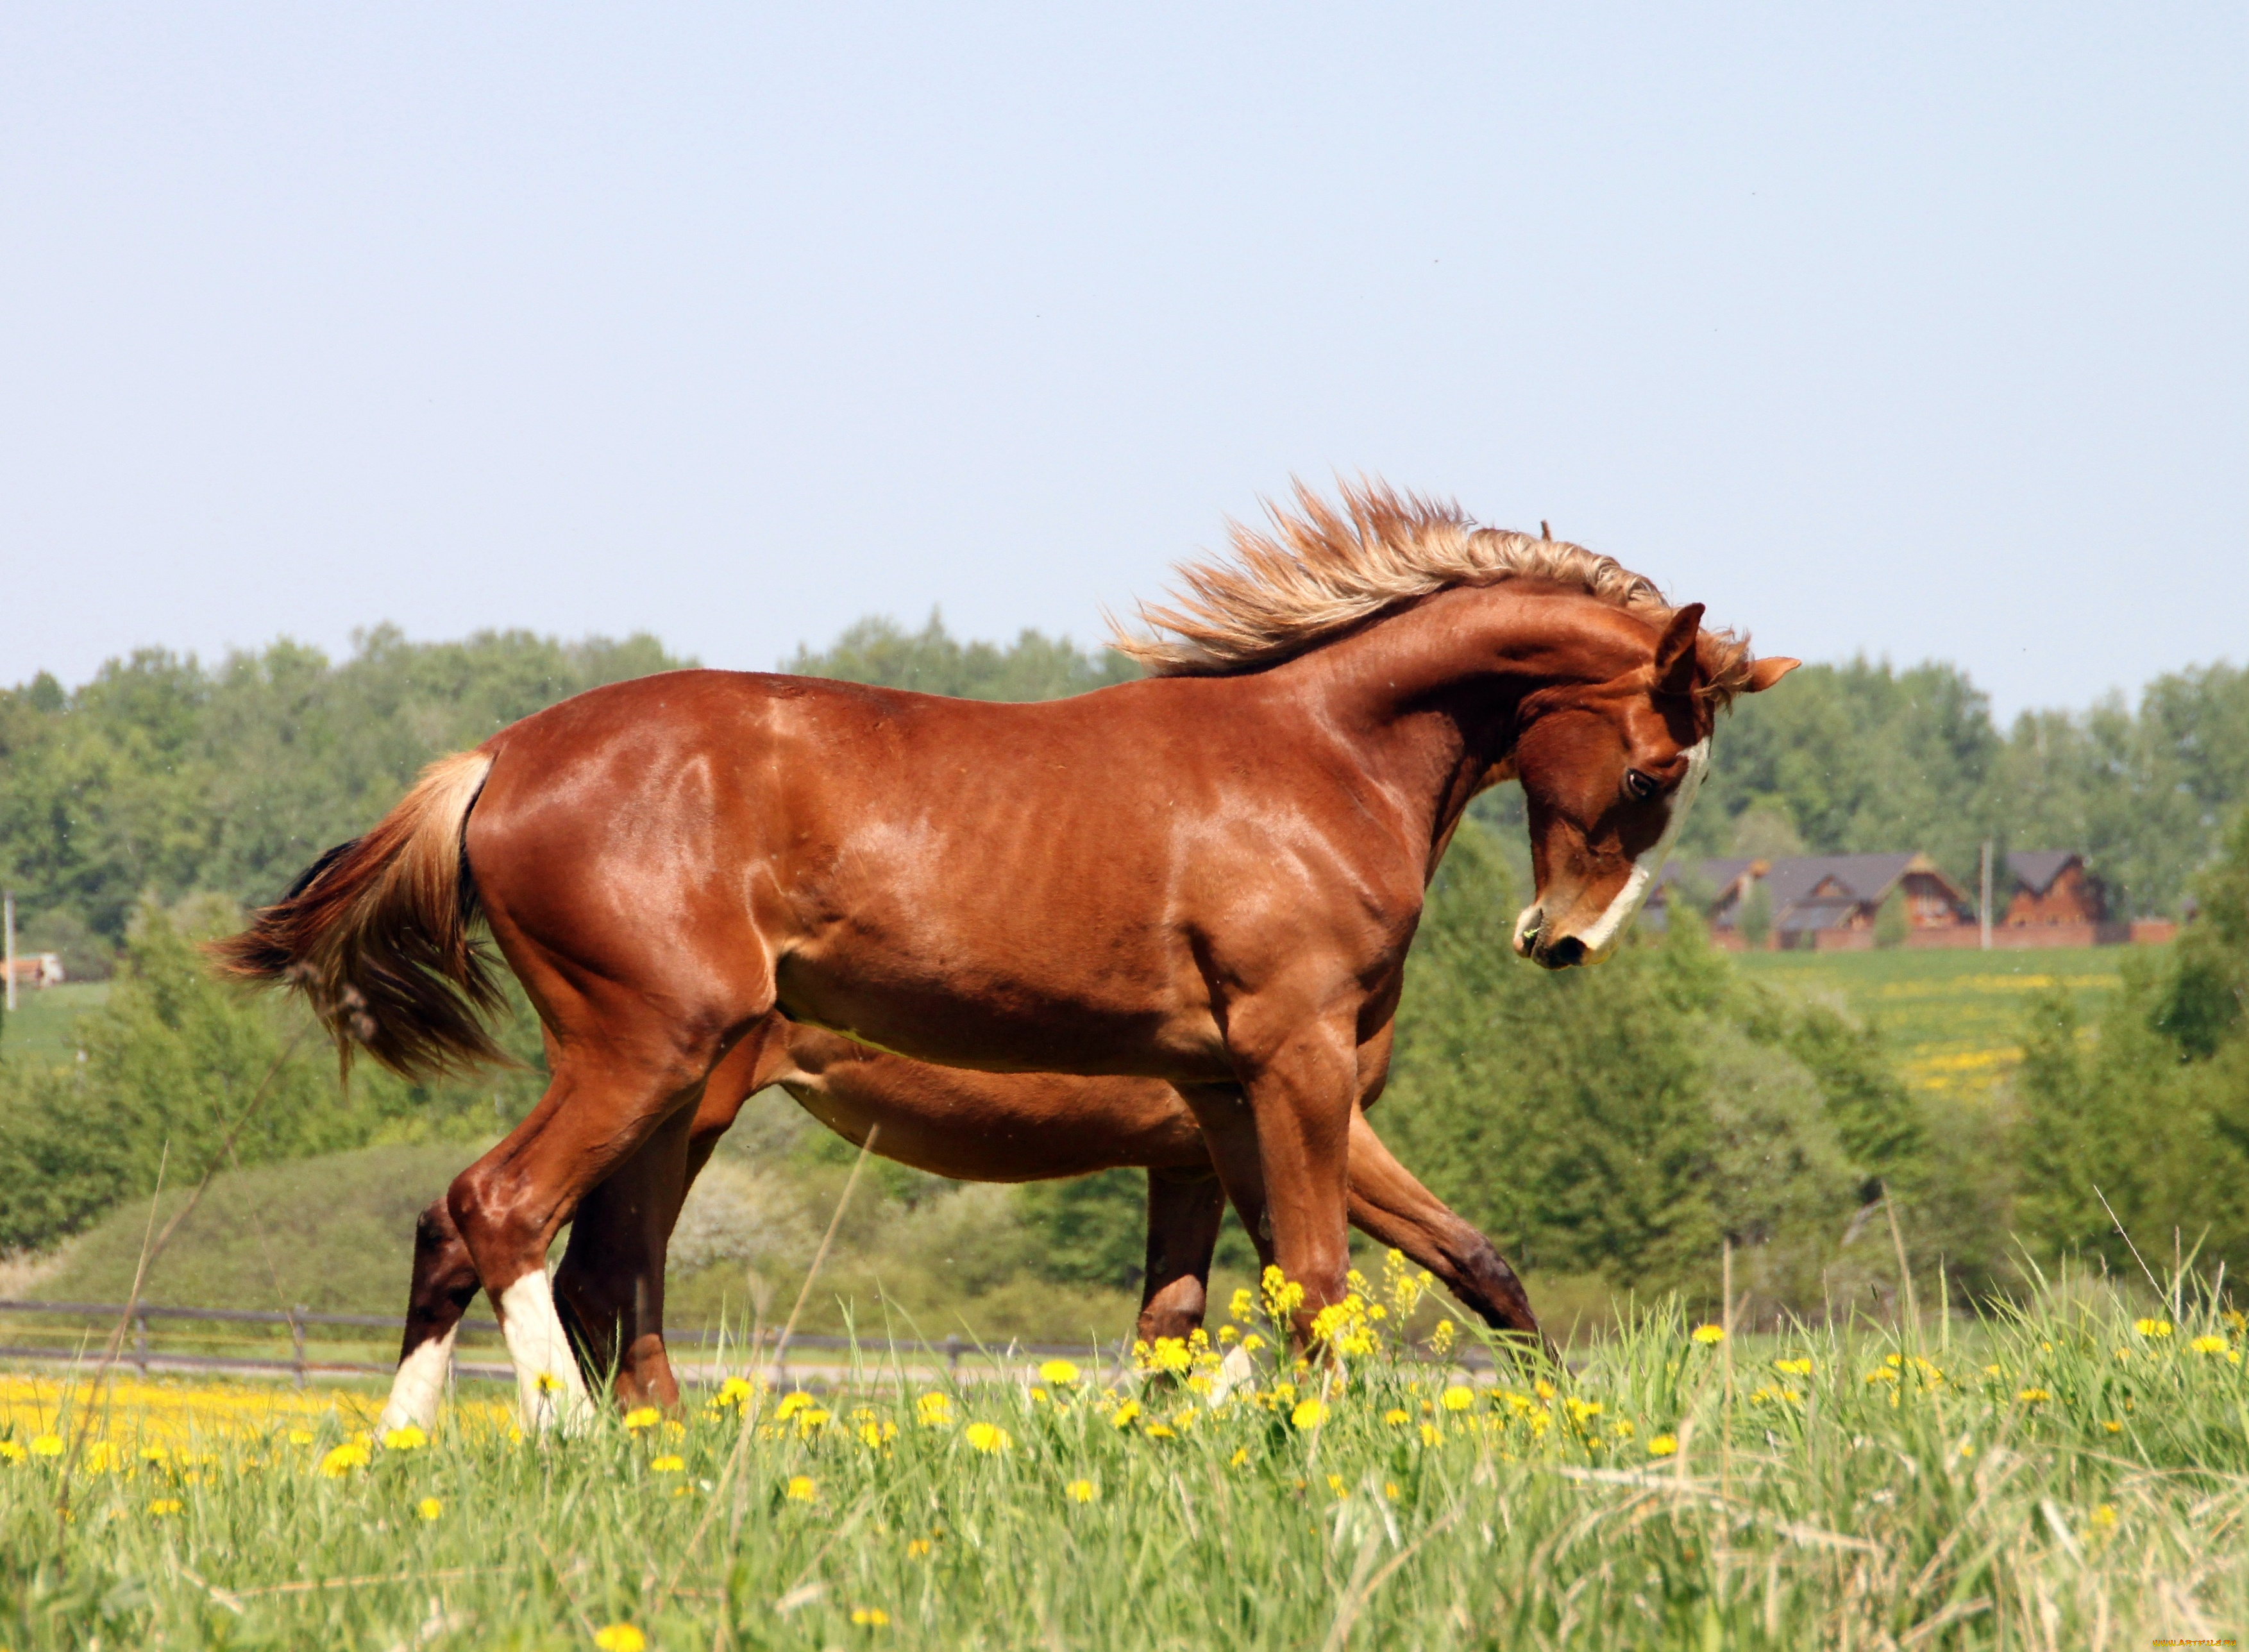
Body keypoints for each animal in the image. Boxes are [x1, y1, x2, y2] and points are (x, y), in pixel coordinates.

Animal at [378, 1020, 1556, 1438]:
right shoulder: (1299, 1131)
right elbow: (1455, 1258)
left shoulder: (1189, 1162)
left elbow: (1174, 1323)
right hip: (675, 1115)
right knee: (578, 1265)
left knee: (527, 1255)